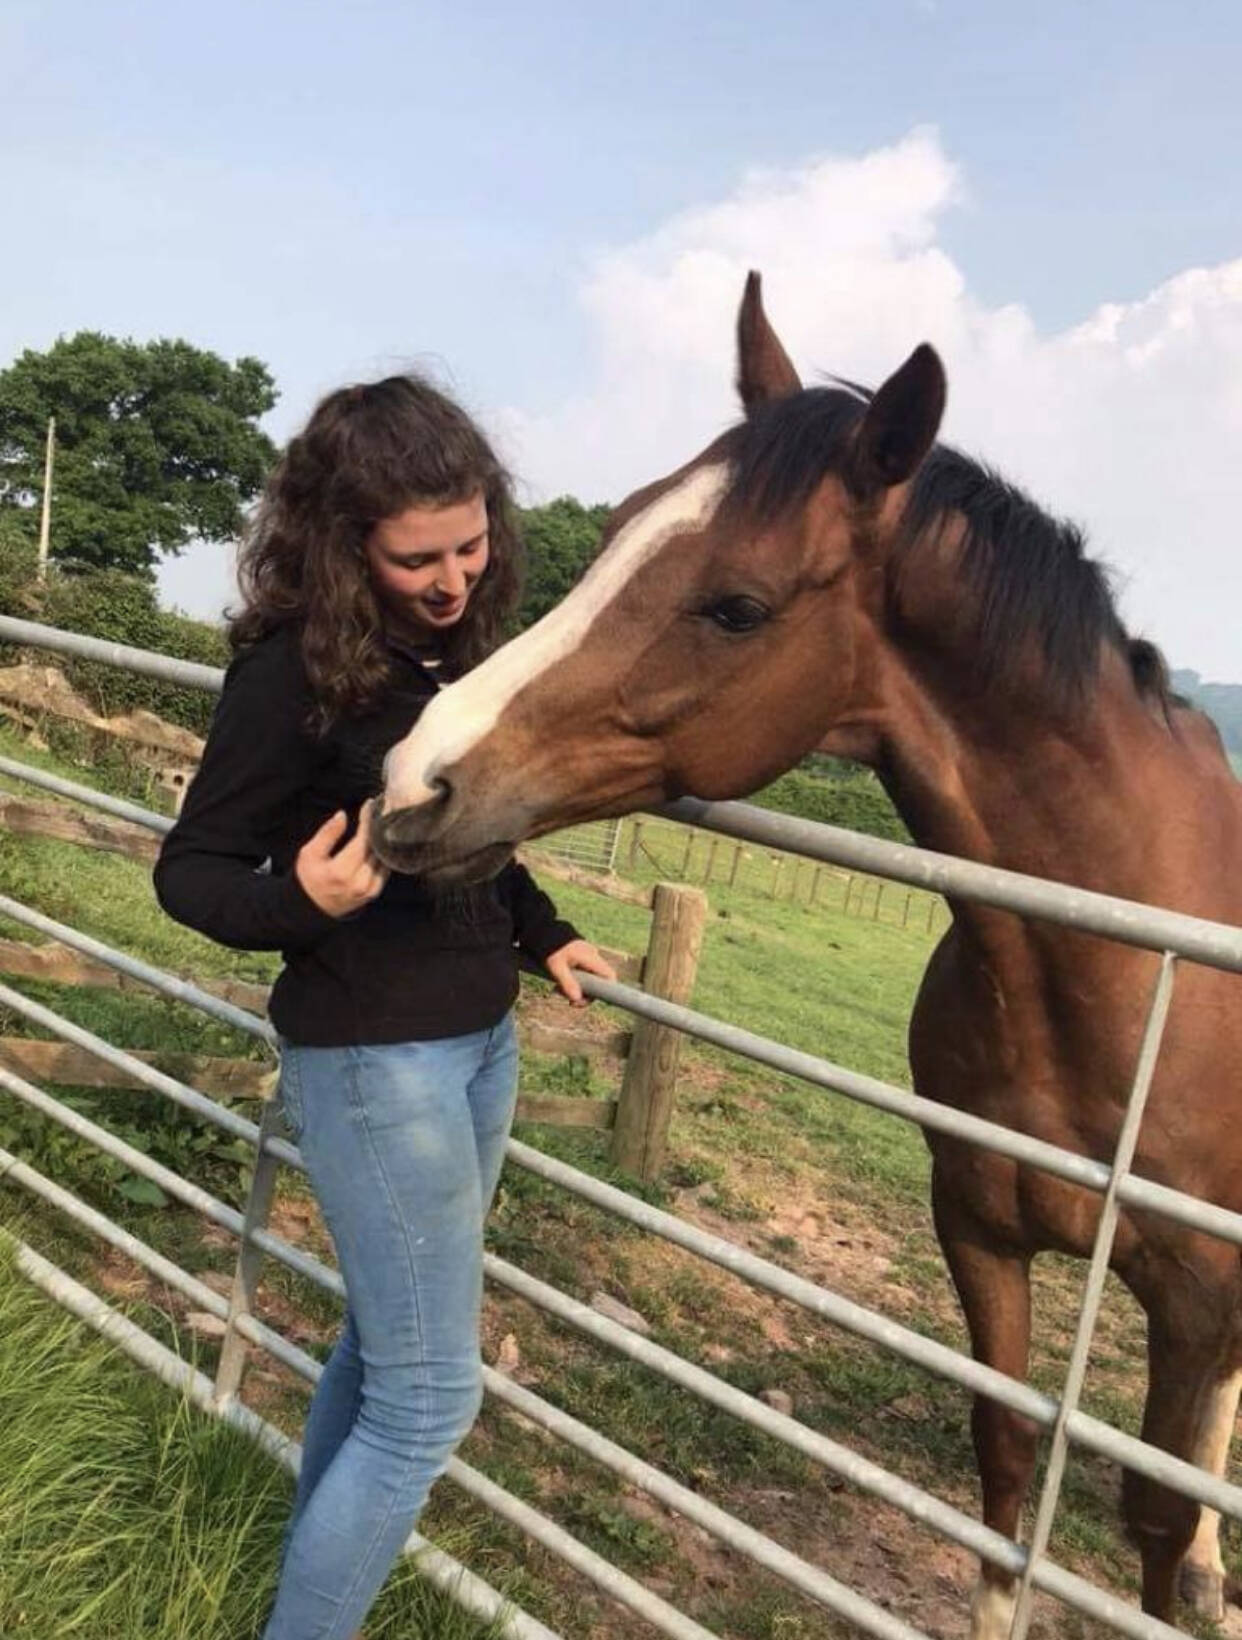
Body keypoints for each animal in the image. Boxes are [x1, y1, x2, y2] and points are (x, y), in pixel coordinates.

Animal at [375, 275, 1240, 1633]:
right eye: (615, 527)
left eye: (738, 605)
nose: (416, 781)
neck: (1129, 972)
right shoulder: (977, 1228)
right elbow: (1003, 1466)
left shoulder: (1197, 1300)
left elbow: (1153, 1512)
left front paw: (1185, 1565)